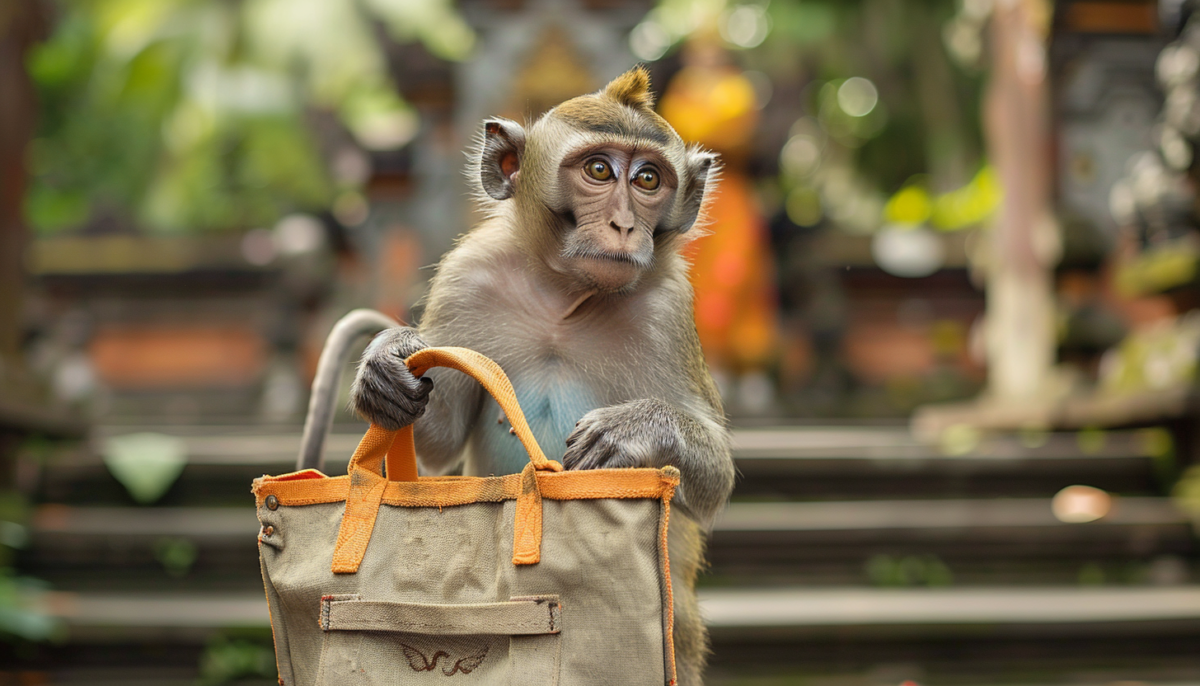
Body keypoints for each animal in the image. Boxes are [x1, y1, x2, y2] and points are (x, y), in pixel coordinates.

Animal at [350, 65, 734, 686]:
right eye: (599, 170)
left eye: (648, 179)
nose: (624, 224)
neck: (564, 298)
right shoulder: (467, 276)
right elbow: (438, 441)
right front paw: (386, 364)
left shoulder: (669, 312)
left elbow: (716, 477)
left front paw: (634, 430)